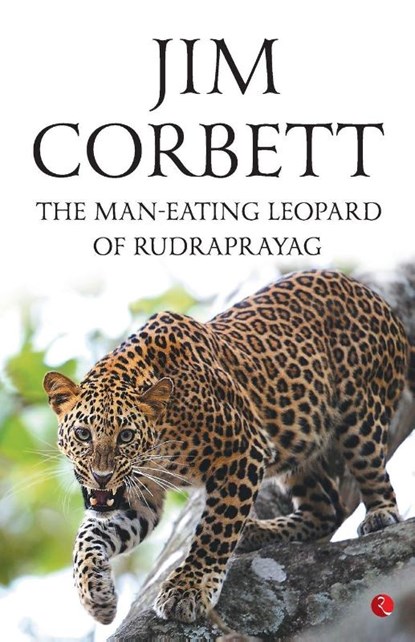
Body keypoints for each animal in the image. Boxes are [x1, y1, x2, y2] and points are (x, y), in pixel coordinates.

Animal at [43, 270, 414, 626]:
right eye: (83, 433)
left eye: (126, 436)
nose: (101, 476)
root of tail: (373, 296)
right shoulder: (139, 494)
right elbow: (88, 535)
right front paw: (95, 594)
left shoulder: (243, 450)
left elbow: (215, 528)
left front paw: (188, 588)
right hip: (298, 445)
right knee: (327, 509)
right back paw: (259, 531)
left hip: (360, 416)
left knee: (371, 473)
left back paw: (379, 514)